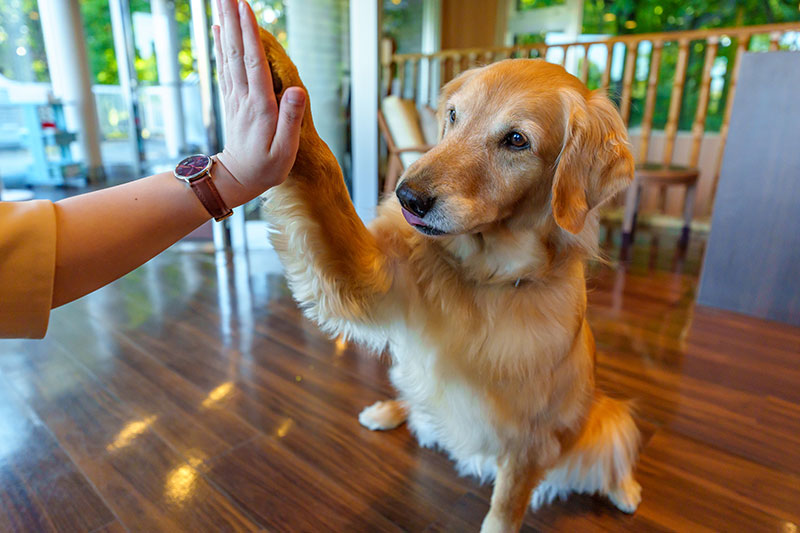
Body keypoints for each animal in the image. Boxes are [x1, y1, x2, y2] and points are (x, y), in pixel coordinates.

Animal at [260, 30, 640, 532]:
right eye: (454, 116)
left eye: (516, 140)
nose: (407, 197)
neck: (486, 276)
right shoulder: (372, 276)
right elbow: (323, 170)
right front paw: (278, 66)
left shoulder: (528, 440)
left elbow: (505, 509)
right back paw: (387, 409)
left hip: (605, 418)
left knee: (613, 446)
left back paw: (626, 490)